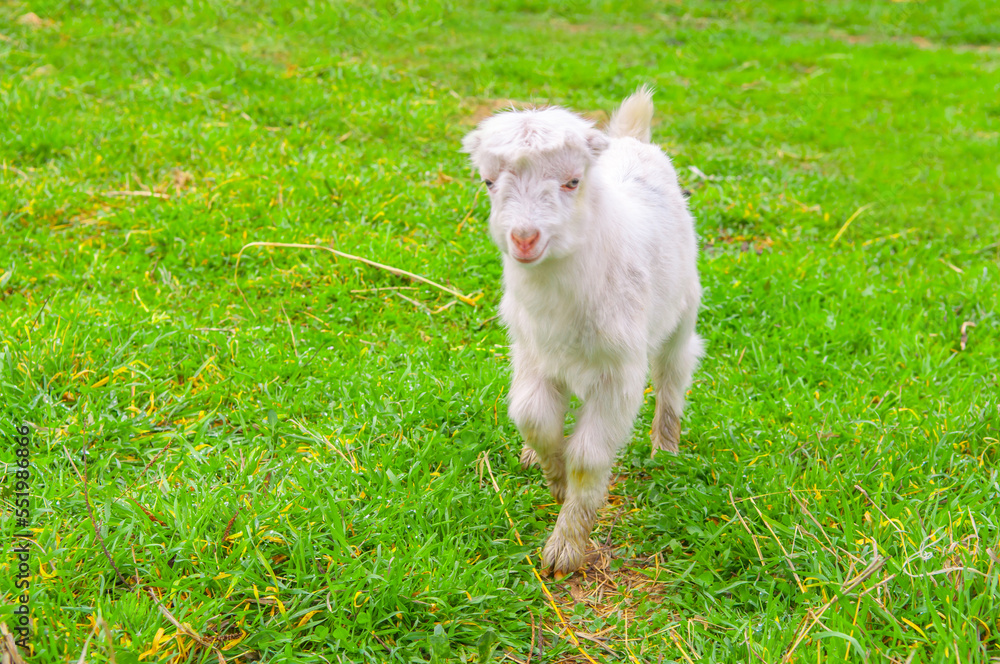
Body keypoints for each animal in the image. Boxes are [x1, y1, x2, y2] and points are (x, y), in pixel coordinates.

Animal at [462, 87, 703, 577]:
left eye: (573, 181)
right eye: (489, 182)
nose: (524, 239)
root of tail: (632, 140)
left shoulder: (618, 375)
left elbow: (588, 457)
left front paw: (565, 548)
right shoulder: (532, 356)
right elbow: (533, 419)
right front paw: (552, 476)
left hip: (682, 313)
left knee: (673, 375)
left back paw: (665, 450)